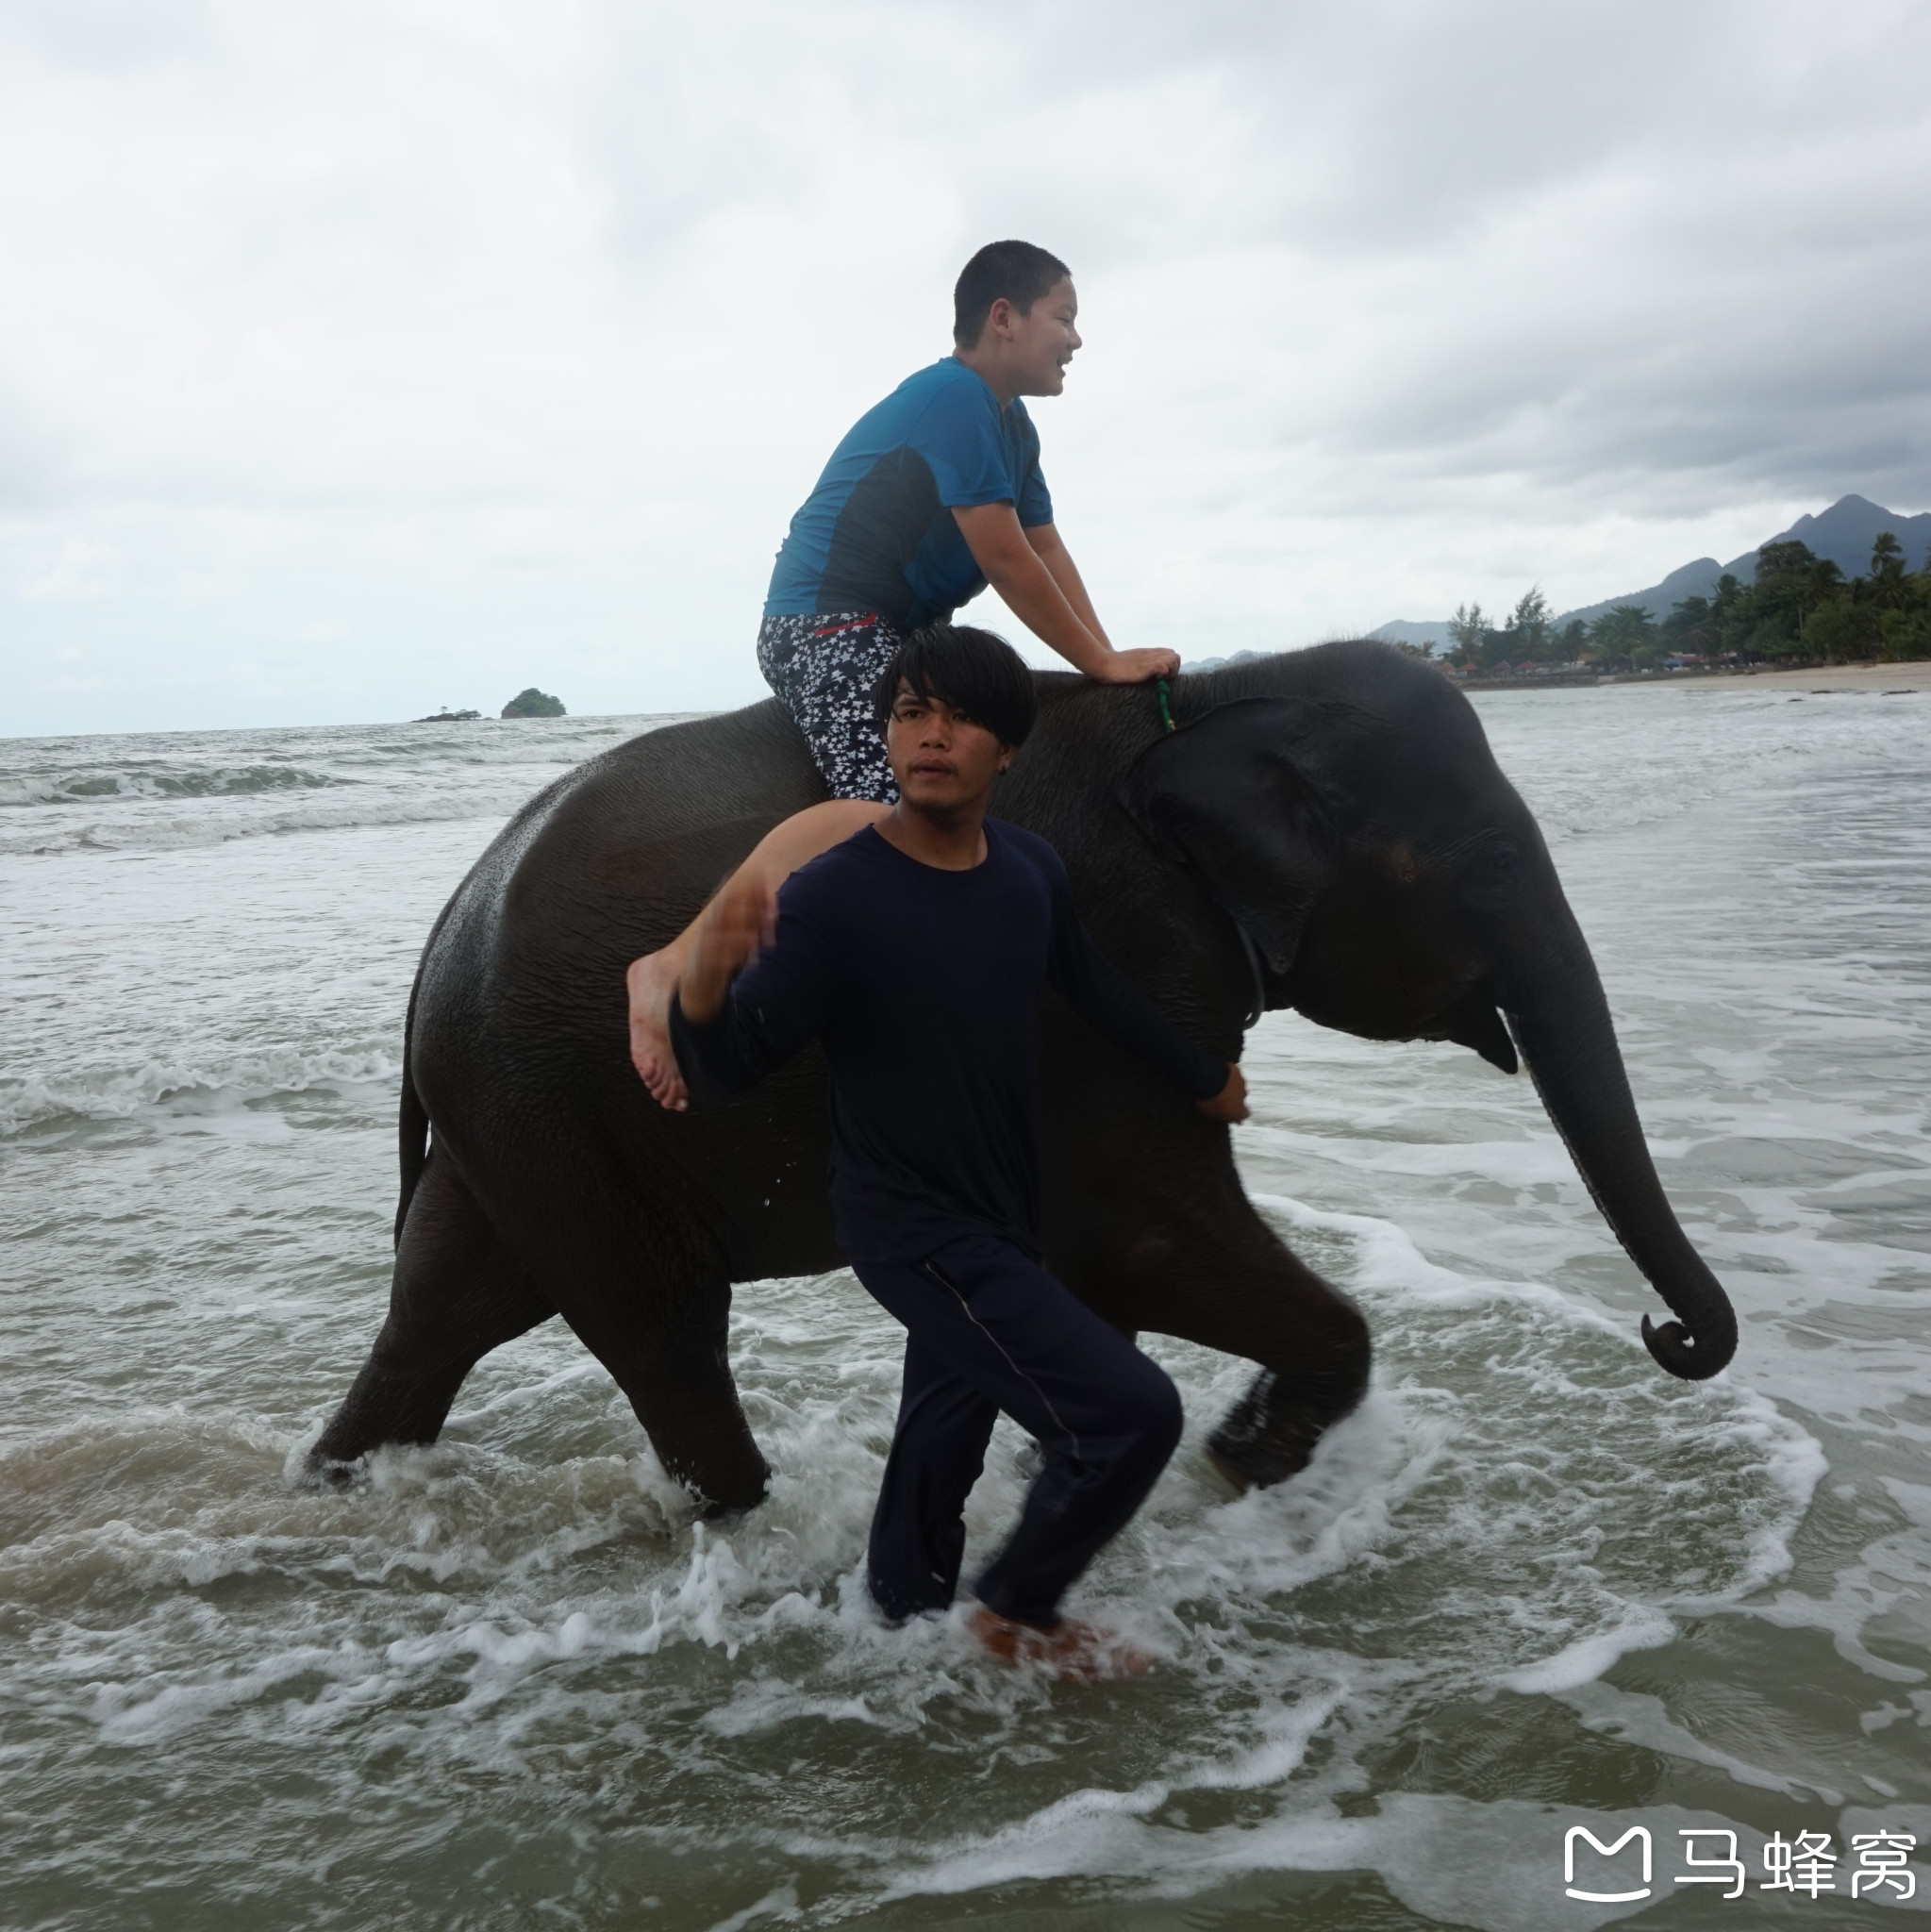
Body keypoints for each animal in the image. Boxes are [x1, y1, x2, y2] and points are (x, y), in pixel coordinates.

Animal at [312, 641, 1738, 1499]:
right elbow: (1137, 1239)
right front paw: (1239, 1456)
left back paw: (337, 1486)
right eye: (1489, 865)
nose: (1666, 1333)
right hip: (554, 1105)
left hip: (520, 1119)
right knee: (663, 1333)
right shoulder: (1083, 971)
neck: (1226, 692)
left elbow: (1095, 1279)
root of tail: (442, 936)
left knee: (445, 1309)